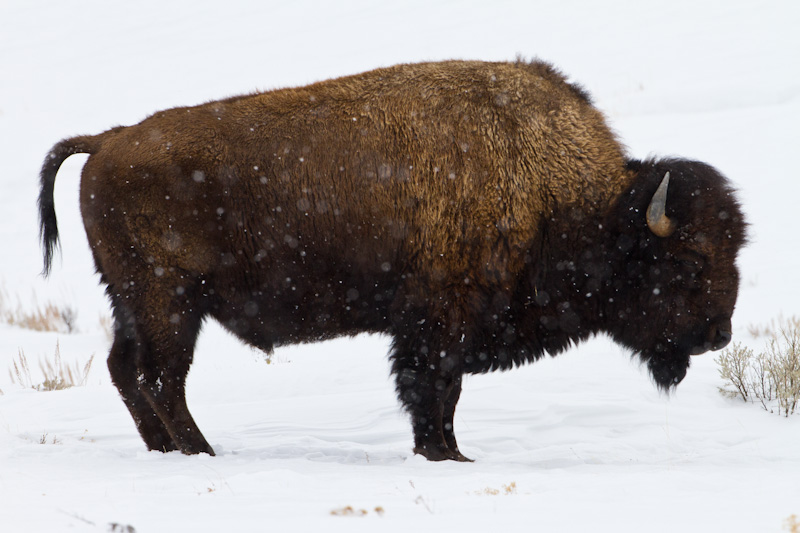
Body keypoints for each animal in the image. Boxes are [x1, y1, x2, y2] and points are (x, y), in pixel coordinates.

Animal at [40, 57, 748, 458]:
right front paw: (445, 456)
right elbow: (433, 390)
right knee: (162, 378)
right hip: (170, 302)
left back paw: (168, 452)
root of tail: (107, 141)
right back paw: (202, 453)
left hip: (136, 302)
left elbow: (444, 395)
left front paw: (452, 453)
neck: (564, 197)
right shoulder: (437, 323)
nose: (718, 334)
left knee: (128, 370)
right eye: (687, 263)